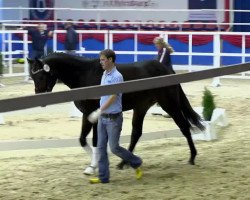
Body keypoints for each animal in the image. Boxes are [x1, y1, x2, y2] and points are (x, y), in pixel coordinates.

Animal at [27, 53, 205, 173]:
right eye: (32, 76)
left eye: (42, 75)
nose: (39, 98)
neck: (84, 75)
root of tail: (166, 70)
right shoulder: (86, 115)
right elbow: (82, 139)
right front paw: (94, 164)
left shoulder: (95, 115)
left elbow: (95, 140)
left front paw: (94, 165)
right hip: (141, 107)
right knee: (136, 133)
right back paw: (123, 163)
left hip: (169, 105)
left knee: (184, 126)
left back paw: (192, 157)